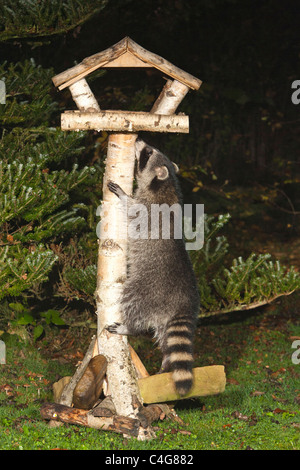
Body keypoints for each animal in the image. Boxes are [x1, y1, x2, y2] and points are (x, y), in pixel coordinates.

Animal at [106, 138, 200, 394]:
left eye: (147, 153)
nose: (139, 140)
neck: (166, 184)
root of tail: (184, 300)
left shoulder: (147, 208)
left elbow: (131, 208)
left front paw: (124, 195)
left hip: (147, 289)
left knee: (131, 300)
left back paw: (129, 328)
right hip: (164, 316)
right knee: (166, 337)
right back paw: (167, 360)